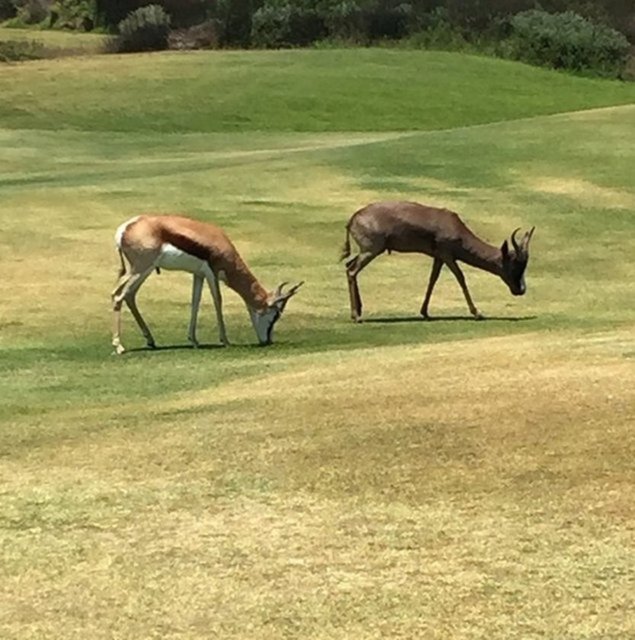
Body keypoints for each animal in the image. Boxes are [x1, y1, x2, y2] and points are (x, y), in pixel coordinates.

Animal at [111, 214, 303, 354]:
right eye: (275, 315)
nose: (267, 341)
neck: (219, 242)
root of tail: (124, 229)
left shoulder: (198, 275)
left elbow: (195, 302)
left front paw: (194, 340)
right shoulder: (212, 273)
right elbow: (218, 300)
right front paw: (225, 341)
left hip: (145, 270)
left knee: (129, 295)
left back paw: (150, 340)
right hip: (140, 268)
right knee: (117, 295)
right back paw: (119, 346)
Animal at [341, 201, 535, 322]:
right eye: (515, 265)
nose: (520, 290)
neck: (454, 225)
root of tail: (353, 218)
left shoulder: (438, 257)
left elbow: (432, 279)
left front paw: (425, 312)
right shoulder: (447, 255)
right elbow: (461, 278)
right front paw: (477, 313)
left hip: (367, 252)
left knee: (348, 265)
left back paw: (358, 311)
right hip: (371, 251)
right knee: (352, 270)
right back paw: (357, 316)